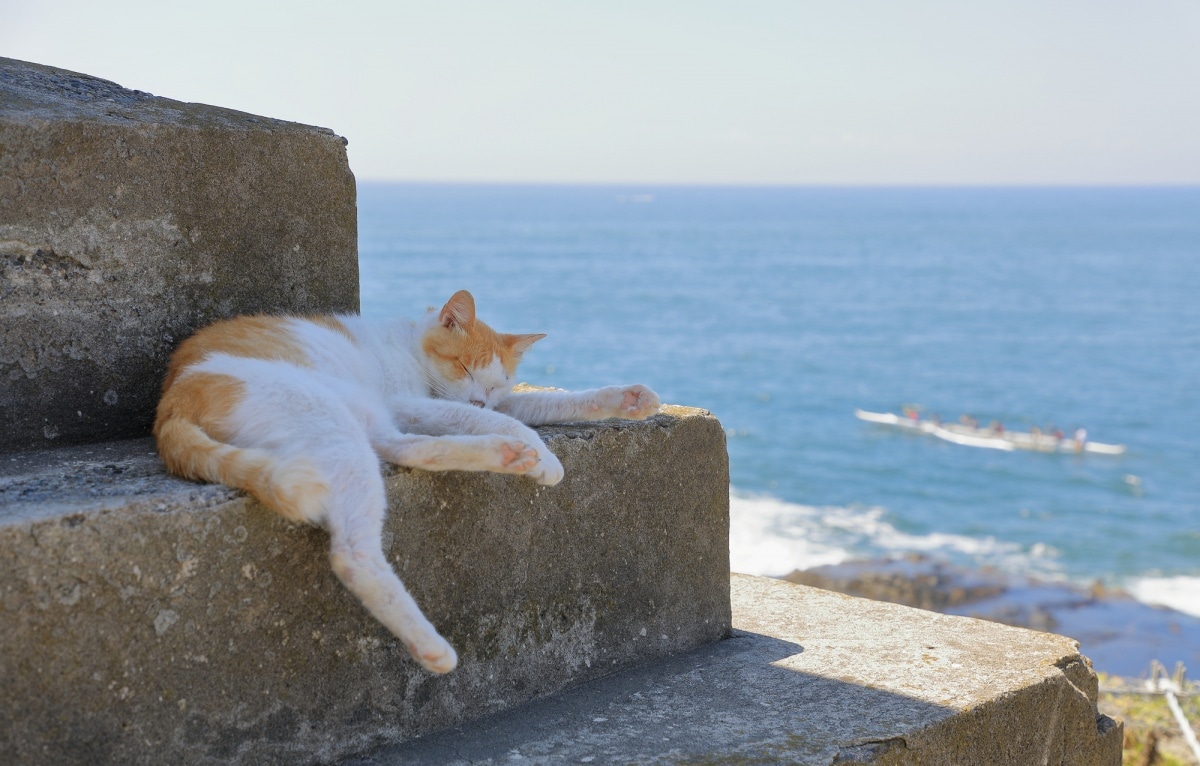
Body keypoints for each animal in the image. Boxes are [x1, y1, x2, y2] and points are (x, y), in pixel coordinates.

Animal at [151, 290, 662, 677]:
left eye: (497, 384)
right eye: (465, 368)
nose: (481, 398)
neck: (410, 348)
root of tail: (172, 403)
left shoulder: (463, 405)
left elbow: (537, 405)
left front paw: (626, 398)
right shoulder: (412, 402)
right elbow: (493, 417)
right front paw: (545, 455)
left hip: (359, 418)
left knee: (401, 448)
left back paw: (503, 454)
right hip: (331, 419)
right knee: (353, 551)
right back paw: (430, 645)